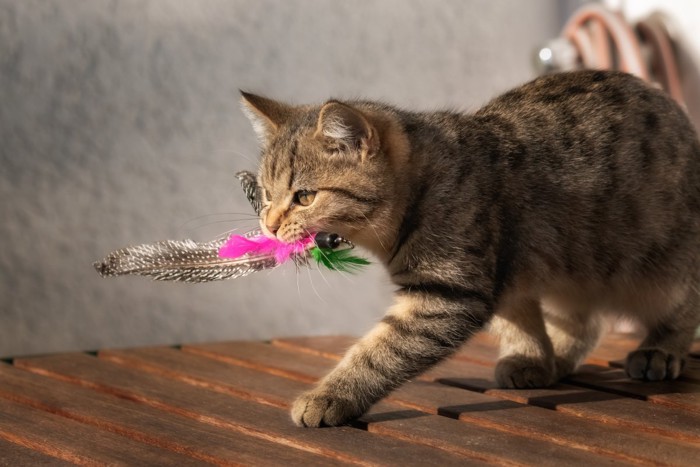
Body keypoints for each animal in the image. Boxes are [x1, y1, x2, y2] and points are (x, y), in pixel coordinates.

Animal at [239, 69, 700, 428]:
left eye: (304, 196)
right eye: (265, 193)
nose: (269, 224)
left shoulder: (449, 292)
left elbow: (381, 351)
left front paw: (330, 395)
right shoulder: (508, 277)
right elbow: (519, 323)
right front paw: (531, 356)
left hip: (666, 267)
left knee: (682, 309)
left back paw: (659, 351)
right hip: (574, 266)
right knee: (583, 322)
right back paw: (558, 358)